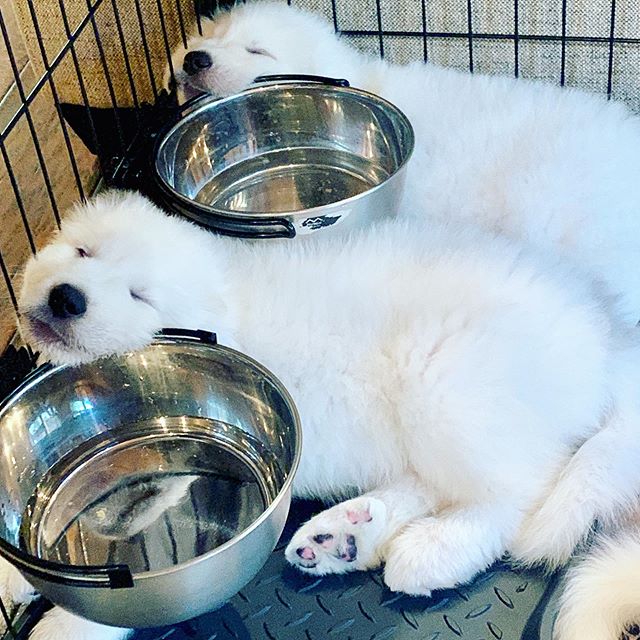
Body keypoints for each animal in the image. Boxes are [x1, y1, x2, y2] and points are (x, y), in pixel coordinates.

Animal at [7, 186, 640, 640]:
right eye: (82, 251)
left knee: (517, 491)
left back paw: (432, 552)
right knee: (433, 482)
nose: (67, 297)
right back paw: (345, 536)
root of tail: (608, 336)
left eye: (140, 295)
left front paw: (66, 624)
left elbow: (137, 569)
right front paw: (15, 579)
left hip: (444, 383)